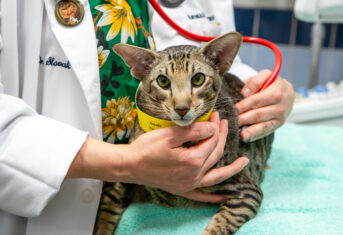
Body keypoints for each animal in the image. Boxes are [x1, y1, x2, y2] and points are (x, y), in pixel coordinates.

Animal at [92, 32, 276, 234]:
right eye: (163, 81)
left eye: (198, 79)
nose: (181, 108)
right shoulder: (121, 179)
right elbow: (105, 212)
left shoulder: (247, 191)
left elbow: (217, 227)